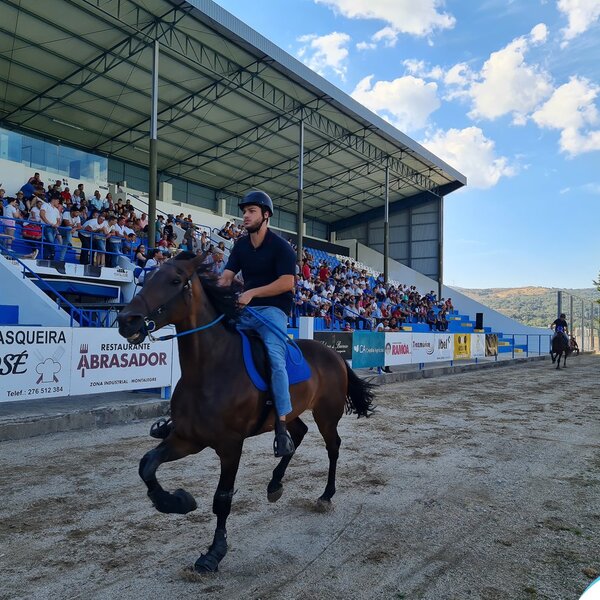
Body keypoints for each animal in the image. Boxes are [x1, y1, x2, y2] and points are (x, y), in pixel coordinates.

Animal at [115, 251, 372, 576]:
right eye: (146, 277)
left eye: (174, 280)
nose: (127, 320)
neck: (210, 369)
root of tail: (334, 354)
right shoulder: (186, 439)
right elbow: (147, 465)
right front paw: (177, 501)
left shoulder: (230, 446)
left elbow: (222, 498)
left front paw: (214, 553)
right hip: (288, 413)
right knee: (296, 436)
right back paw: (275, 484)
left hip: (327, 413)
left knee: (333, 447)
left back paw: (326, 495)